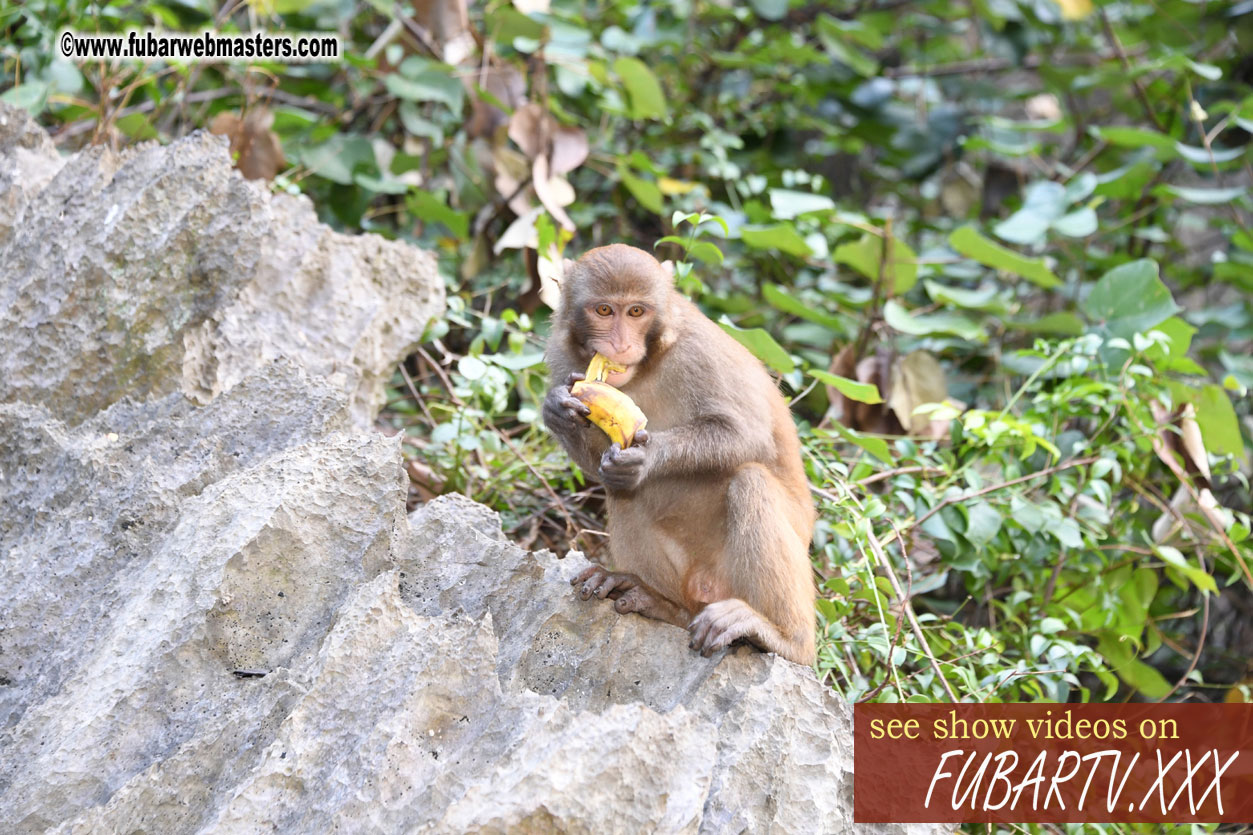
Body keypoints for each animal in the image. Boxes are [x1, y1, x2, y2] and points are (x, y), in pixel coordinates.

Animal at [541, 241, 816, 661]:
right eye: (604, 310)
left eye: (636, 312)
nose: (621, 344)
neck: (647, 365)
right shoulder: (562, 356)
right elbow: (597, 463)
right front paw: (557, 411)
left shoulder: (699, 352)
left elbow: (749, 434)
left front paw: (646, 460)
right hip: (688, 582)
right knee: (621, 492)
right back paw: (653, 598)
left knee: (751, 481)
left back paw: (782, 636)